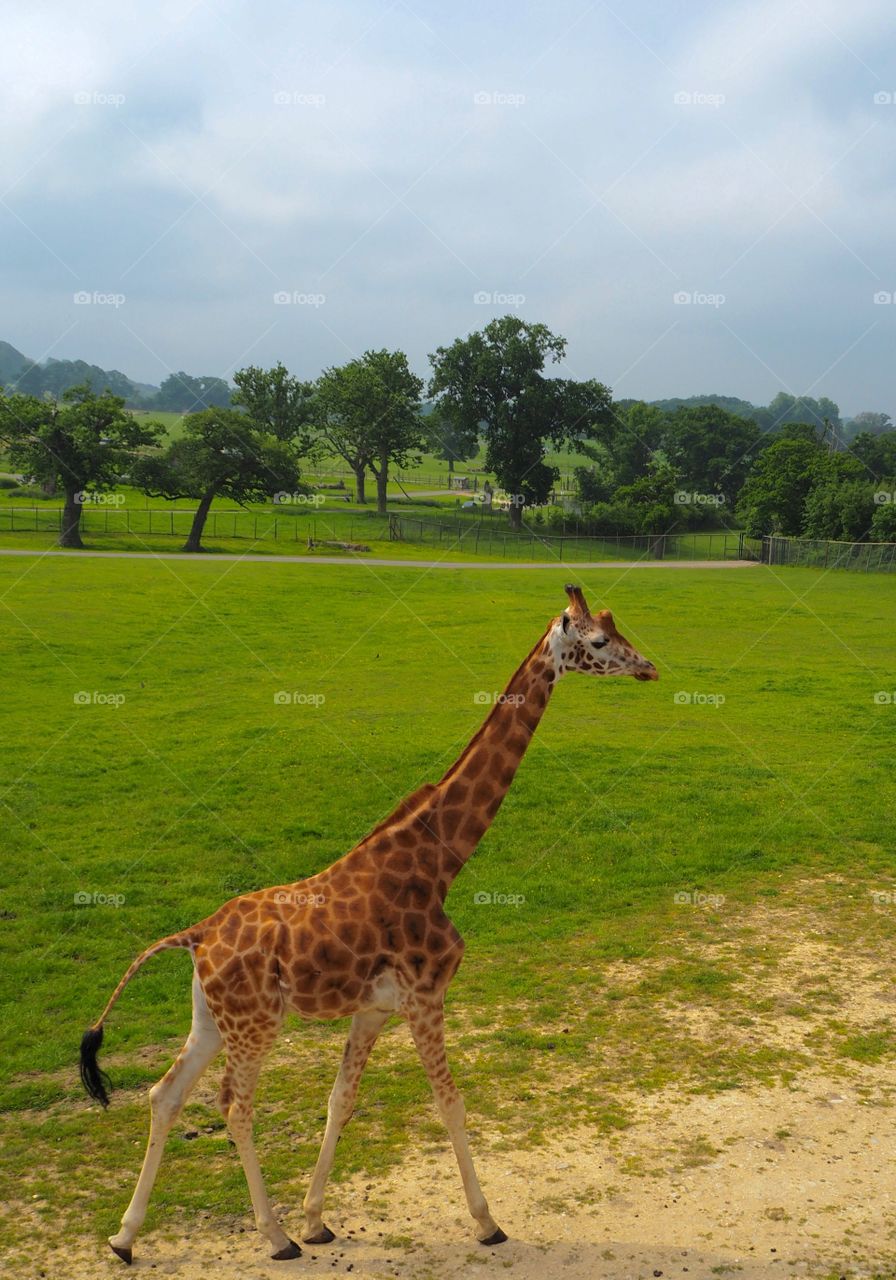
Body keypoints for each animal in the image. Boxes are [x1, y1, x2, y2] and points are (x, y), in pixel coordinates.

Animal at [80, 586, 660, 1264]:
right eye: (597, 641)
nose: (649, 668)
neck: (439, 861)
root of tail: (195, 935)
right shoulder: (425, 995)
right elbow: (450, 1103)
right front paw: (486, 1222)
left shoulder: (375, 1008)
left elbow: (341, 1101)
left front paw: (316, 1220)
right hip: (255, 1025)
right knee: (234, 1106)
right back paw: (273, 1237)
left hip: (210, 1020)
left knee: (165, 1095)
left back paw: (125, 1236)